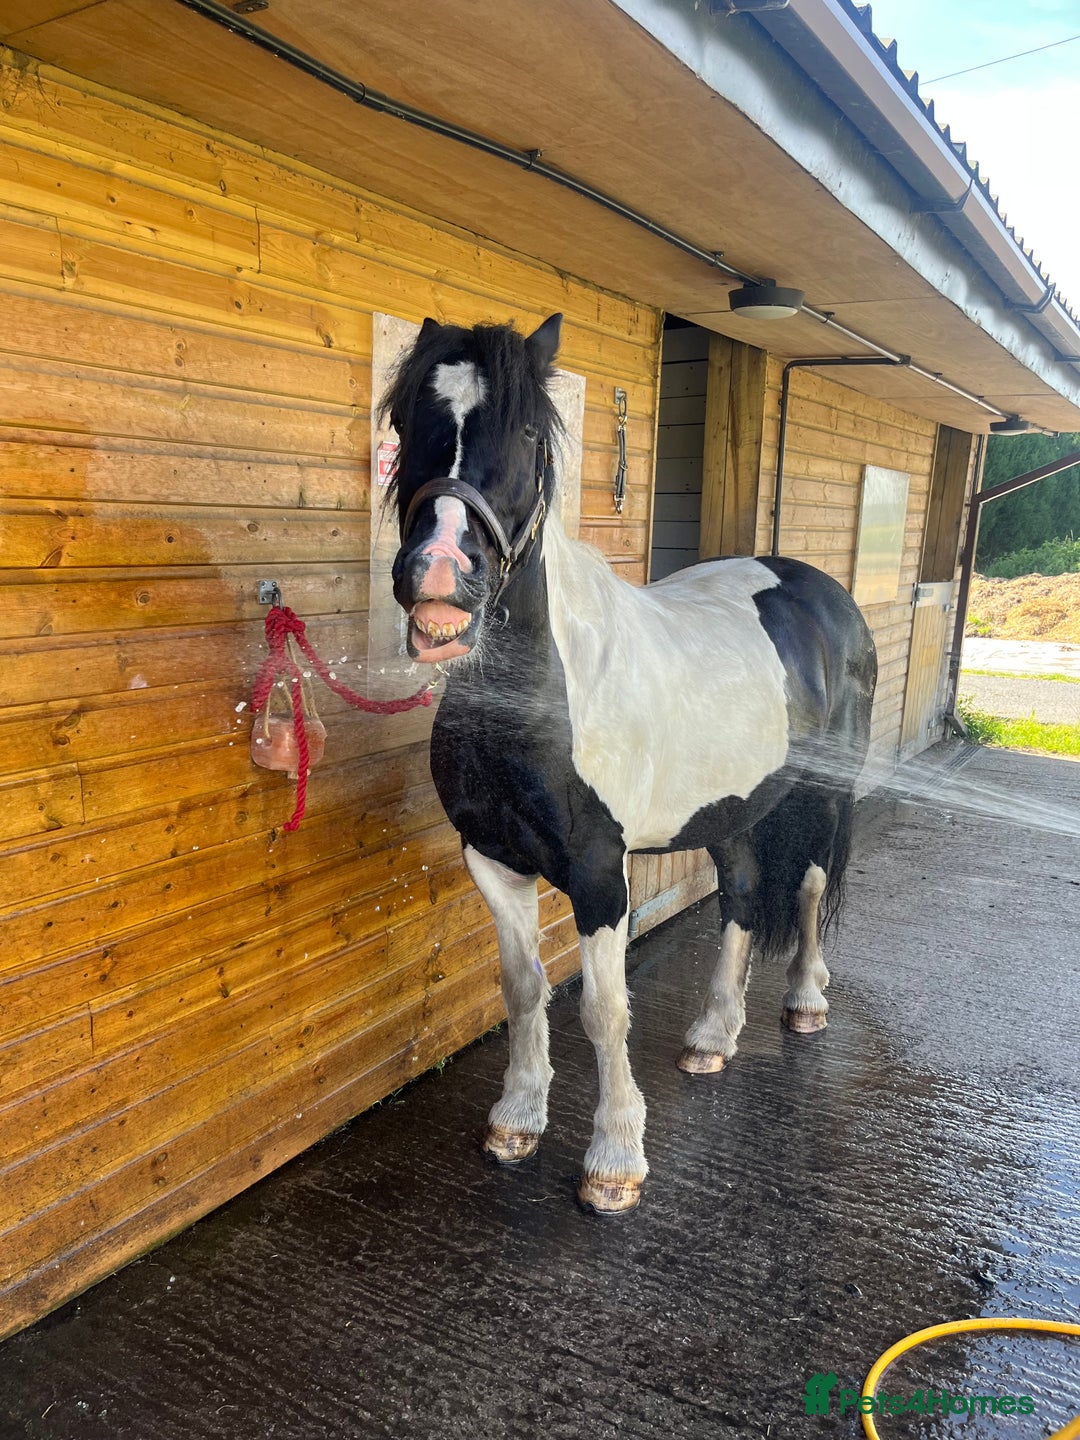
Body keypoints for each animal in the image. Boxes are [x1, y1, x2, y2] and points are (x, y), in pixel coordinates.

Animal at [383, 312, 877, 1213]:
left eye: (530, 432)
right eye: (407, 422)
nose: (438, 577)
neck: (545, 693)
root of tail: (819, 591)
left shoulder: (598, 873)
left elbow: (605, 1010)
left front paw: (614, 1161)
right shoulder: (492, 862)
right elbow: (522, 988)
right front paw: (517, 1119)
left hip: (827, 792)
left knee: (812, 884)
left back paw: (805, 1001)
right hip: (732, 810)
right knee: (743, 897)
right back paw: (713, 1037)